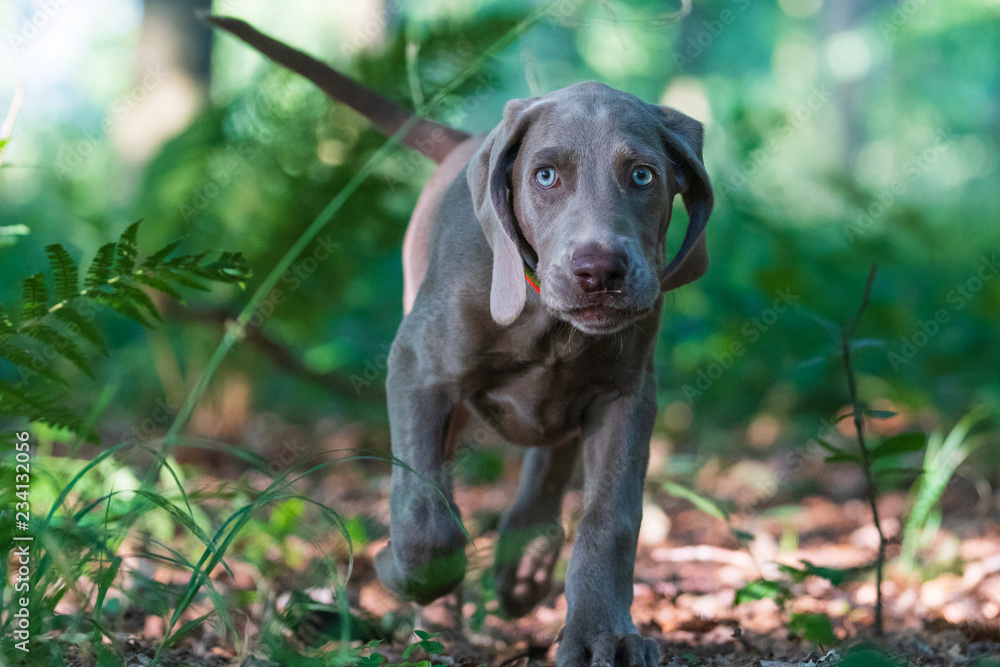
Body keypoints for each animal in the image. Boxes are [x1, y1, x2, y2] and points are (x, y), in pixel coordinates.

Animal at [209, 17, 712, 667]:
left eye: (643, 175)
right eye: (545, 176)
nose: (600, 271)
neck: (544, 320)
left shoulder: (626, 396)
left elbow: (611, 519)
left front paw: (604, 633)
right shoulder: (418, 371)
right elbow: (427, 519)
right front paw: (393, 569)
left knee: (550, 455)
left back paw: (526, 562)